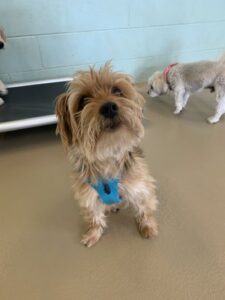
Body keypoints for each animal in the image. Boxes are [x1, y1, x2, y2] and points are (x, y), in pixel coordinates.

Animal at [55, 63, 157, 246]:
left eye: (117, 91)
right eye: (83, 100)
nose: (109, 107)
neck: (107, 155)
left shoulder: (140, 188)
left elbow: (145, 208)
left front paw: (148, 227)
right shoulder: (87, 197)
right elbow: (94, 218)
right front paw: (93, 234)